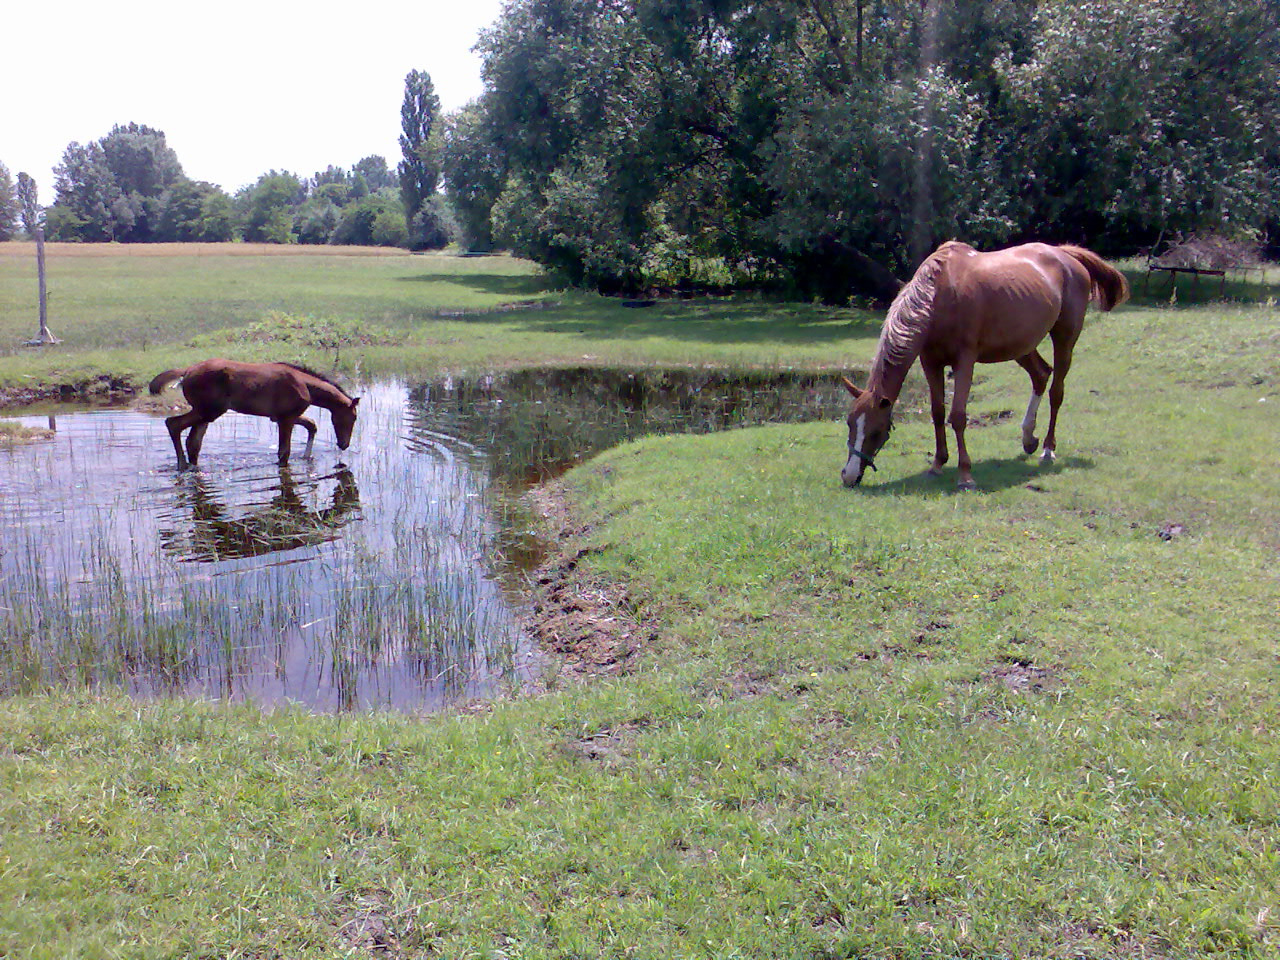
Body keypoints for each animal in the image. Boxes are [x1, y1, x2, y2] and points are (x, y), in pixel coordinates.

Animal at [149, 358, 360, 468]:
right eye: (353, 418)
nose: (344, 444)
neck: (304, 384)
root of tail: (186, 372)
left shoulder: (281, 417)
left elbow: (311, 425)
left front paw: (307, 457)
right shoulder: (286, 419)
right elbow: (284, 452)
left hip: (207, 414)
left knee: (193, 442)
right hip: (209, 411)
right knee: (173, 425)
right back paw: (182, 465)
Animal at [839, 244, 1131, 491]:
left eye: (876, 431)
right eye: (849, 423)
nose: (849, 476)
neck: (940, 295)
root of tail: (1065, 254)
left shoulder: (964, 361)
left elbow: (957, 416)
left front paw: (965, 475)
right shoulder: (930, 362)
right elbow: (937, 412)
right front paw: (937, 464)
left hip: (1064, 339)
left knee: (1056, 392)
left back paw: (1048, 449)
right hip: (1021, 346)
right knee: (1040, 375)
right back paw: (1028, 439)